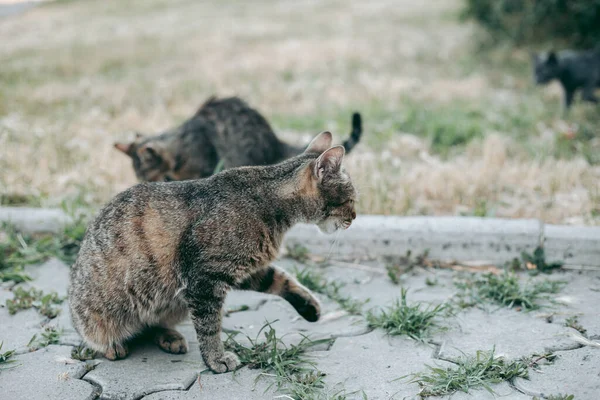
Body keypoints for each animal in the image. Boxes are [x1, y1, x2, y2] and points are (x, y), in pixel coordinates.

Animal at [69, 131, 356, 372]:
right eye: (352, 199)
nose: (354, 218)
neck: (271, 202)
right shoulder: (205, 279)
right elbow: (209, 327)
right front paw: (216, 359)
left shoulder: (244, 268)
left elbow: (281, 280)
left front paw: (309, 306)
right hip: (101, 316)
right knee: (98, 334)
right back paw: (112, 346)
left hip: (173, 303)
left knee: (151, 324)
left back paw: (169, 336)